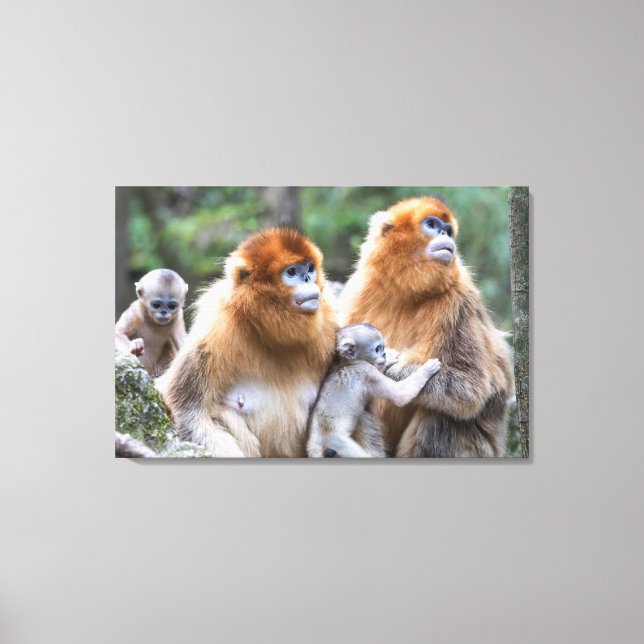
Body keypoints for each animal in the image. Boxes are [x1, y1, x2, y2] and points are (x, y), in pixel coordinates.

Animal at [156, 228, 337, 457]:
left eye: (310, 268)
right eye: (292, 272)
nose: (306, 278)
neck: (273, 333)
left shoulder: (330, 321)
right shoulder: (215, 328)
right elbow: (189, 412)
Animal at [307, 324, 441, 458]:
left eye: (383, 348)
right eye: (377, 349)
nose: (384, 354)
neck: (348, 364)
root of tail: (316, 444)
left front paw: (390, 358)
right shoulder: (367, 371)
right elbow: (399, 395)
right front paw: (426, 370)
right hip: (337, 442)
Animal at [339, 197, 513, 457]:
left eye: (448, 230)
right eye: (432, 225)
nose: (445, 235)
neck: (407, 291)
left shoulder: (459, 298)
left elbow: (471, 389)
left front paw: (392, 369)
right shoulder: (358, 289)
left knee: (443, 416)